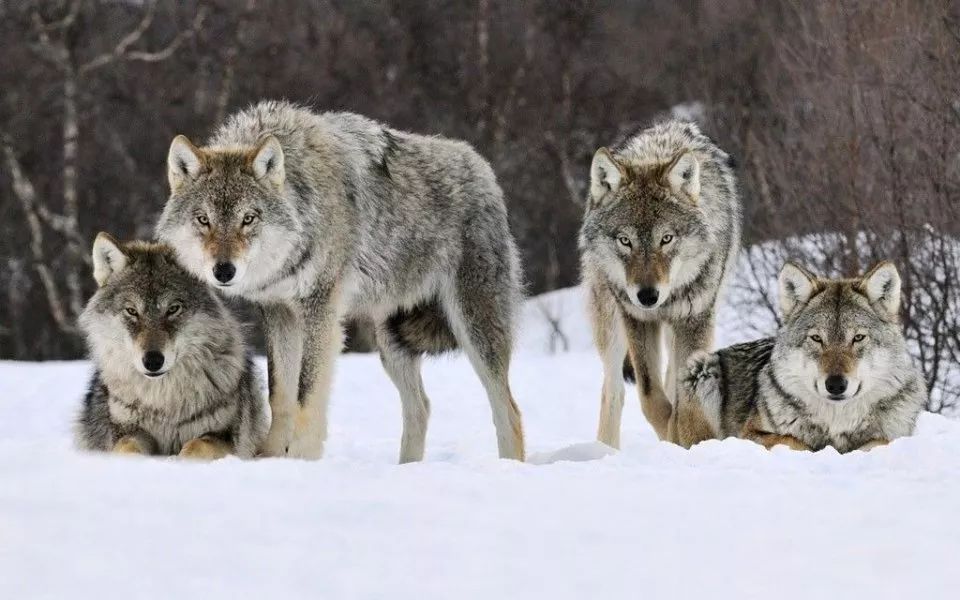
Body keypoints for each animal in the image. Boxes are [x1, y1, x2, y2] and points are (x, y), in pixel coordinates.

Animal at [75, 234, 266, 460]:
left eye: (173, 309)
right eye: (131, 311)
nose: (153, 361)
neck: (163, 401)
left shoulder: (224, 437)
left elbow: (195, 447)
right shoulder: (127, 431)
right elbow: (127, 448)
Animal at [157, 101, 524, 462]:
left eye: (248, 219)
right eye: (203, 219)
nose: (224, 271)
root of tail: (483, 167)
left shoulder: (320, 311)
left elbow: (306, 395)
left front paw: (301, 460)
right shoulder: (279, 312)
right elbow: (280, 394)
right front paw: (271, 458)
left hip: (474, 329)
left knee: (509, 410)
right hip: (391, 342)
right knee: (421, 407)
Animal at [576, 119, 744, 448]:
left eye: (666, 239)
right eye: (625, 241)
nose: (647, 296)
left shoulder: (695, 319)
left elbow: (681, 393)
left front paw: (682, 435)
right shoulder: (637, 319)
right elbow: (650, 395)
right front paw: (671, 433)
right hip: (611, 324)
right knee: (613, 390)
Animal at [672, 260, 928, 452]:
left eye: (858, 338)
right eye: (816, 338)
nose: (835, 385)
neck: (837, 422)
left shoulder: (893, 437)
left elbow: (879, 442)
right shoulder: (749, 434)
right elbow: (794, 441)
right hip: (702, 369)